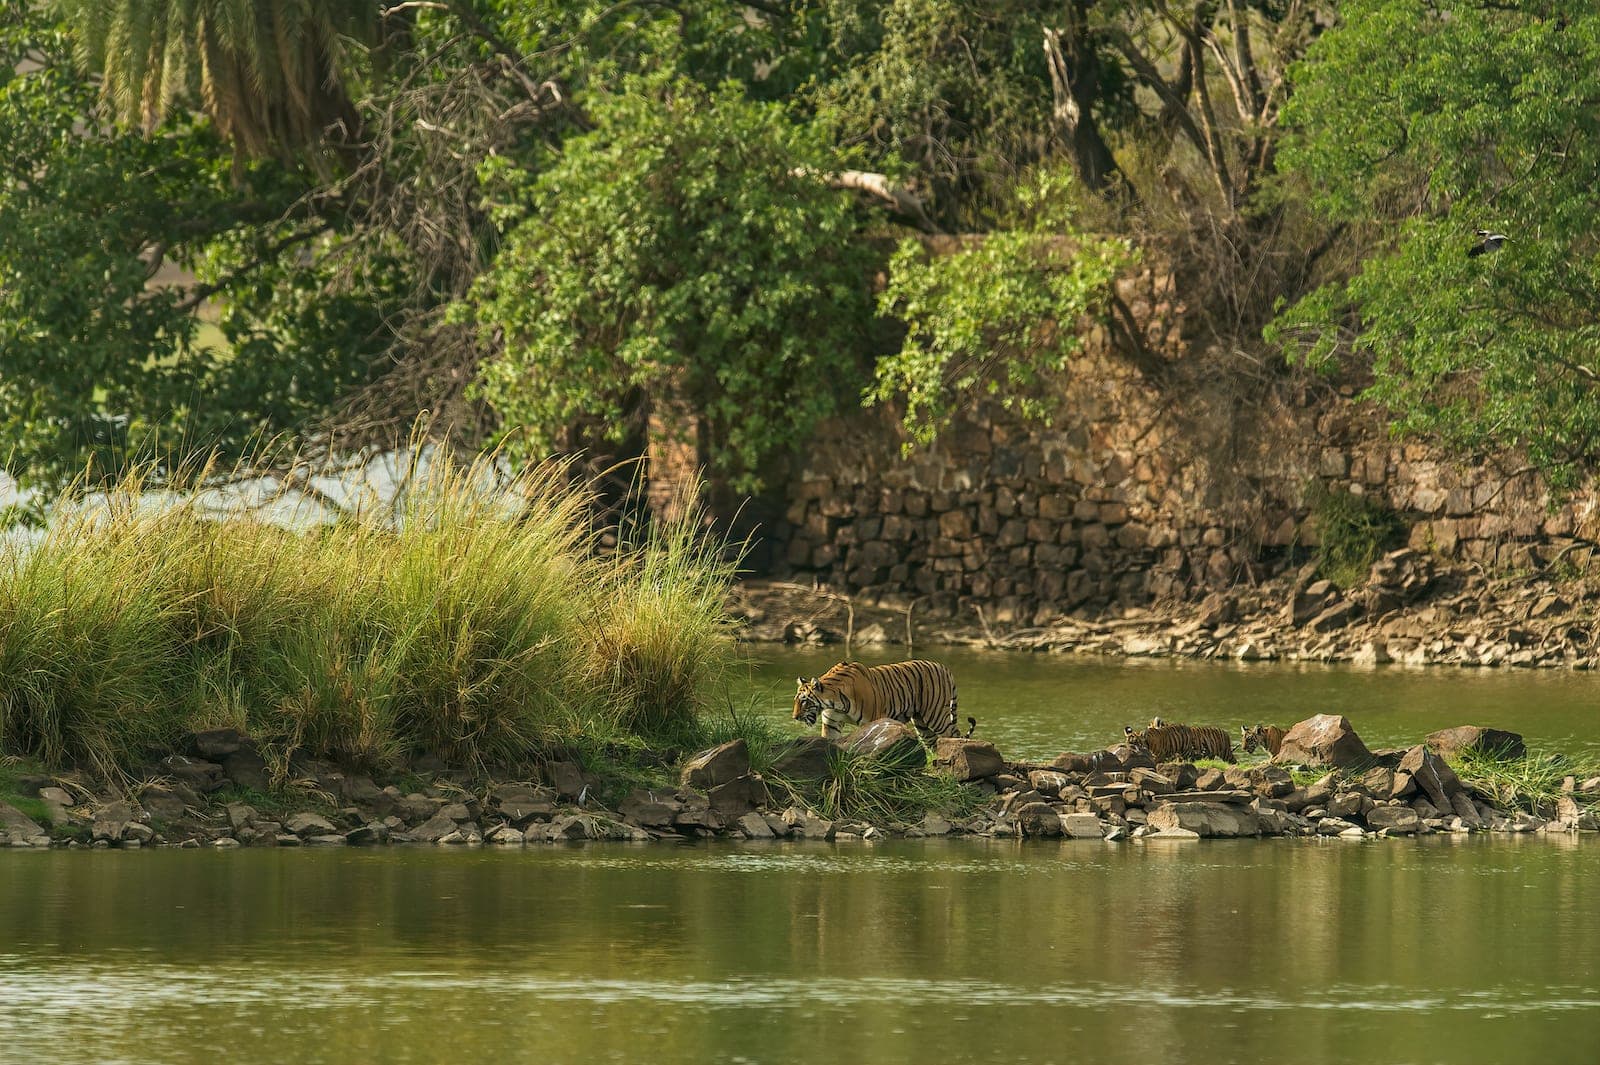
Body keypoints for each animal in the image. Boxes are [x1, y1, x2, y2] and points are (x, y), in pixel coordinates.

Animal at [793, 660, 976, 741]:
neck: (834, 701)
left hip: (936, 716)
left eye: (804, 701)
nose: (794, 717)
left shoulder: (873, 720)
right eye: (796, 701)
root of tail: (944, 667)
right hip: (921, 723)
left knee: (955, 735)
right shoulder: (831, 723)